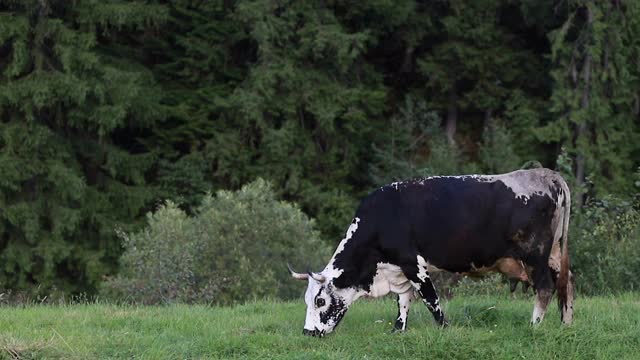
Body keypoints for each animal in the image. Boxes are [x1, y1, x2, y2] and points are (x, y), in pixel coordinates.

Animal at [290, 167, 576, 336]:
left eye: (320, 301)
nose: (307, 332)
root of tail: (546, 173)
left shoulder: (413, 263)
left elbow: (430, 298)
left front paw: (444, 328)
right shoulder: (400, 270)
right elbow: (403, 300)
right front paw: (398, 330)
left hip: (534, 255)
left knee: (545, 287)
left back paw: (534, 326)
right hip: (553, 255)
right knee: (567, 283)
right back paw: (566, 323)